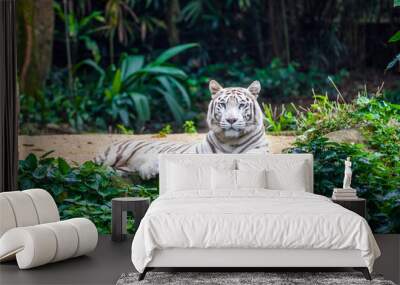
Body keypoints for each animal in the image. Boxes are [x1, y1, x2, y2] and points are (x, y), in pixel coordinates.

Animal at [95, 79, 268, 178]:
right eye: (223, 104)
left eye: (241, 105)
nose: (231, 120)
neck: (231, 141)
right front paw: (148, 170)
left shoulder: (260, 152)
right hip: (115, 155)